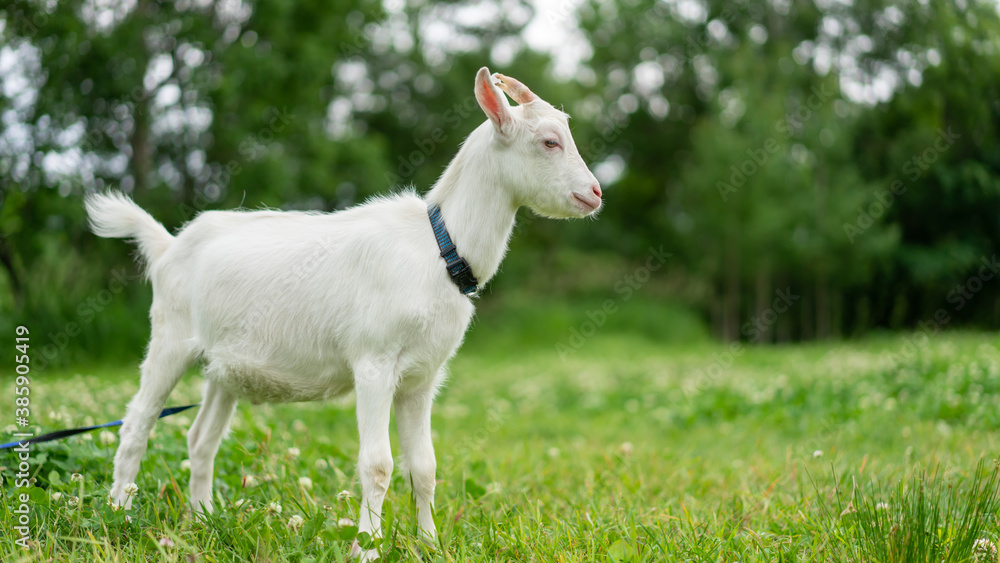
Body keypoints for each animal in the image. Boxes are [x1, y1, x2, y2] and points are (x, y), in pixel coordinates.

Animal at [86, 67, 596, 560]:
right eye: (549, 142)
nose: (594, 193)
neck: (438, 247)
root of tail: (167, 246)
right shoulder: (374, 363)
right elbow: (378, 464)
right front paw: (366, 549)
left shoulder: (422, 377)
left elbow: (424, 466)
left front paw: (431, 546)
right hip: (170, 337)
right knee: (137, 423)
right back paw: (118, 514)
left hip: (223, 367)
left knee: (201, 438)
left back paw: (203, 519)